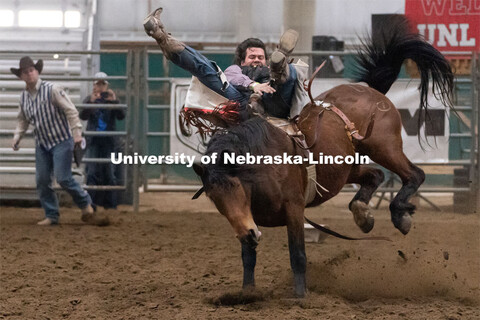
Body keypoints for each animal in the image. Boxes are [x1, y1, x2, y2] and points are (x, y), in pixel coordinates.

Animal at [191, 19, 454, 298]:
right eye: (213, 197)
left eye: (235, 186)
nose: (249, 234)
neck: (264, 169)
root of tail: (370, 90)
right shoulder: (248, 221)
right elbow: (248, 258)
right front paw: (247, 294)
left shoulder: (294, 209)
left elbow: (298, 255)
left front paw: (301, 297)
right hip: (346, 168)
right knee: (375, 175)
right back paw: (363, 214)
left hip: (384, 147)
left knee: (414, 174)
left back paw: (400, 216)